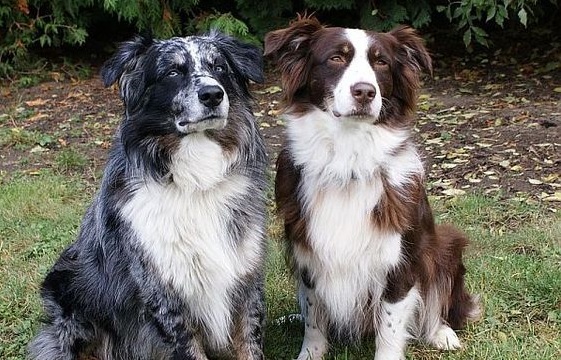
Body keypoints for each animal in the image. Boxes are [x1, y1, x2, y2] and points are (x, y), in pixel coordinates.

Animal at [264, 15, 480, 358]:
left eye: (381, 62)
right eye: (336, 58)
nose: (365, 92)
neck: (348, 161)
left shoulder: (399, 261)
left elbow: (390, 326)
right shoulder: (307, 256)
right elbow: (314, 319)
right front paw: (310, 352)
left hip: (445, 245)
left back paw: (442, 333)